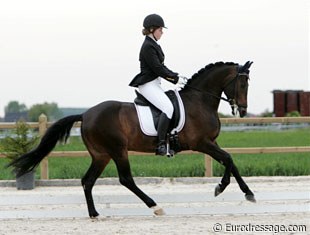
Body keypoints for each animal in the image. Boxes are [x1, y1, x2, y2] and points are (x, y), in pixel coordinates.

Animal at [7, 61, 254, 218]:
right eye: (243, 84)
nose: (242, 110)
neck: (200, 101)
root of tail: (85, 114)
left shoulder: (211, 143)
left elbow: (231, 161)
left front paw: (246, 193)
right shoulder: (201, 143)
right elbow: (228, 159)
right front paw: (223, 188)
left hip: (101, 155)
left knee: (88, 180)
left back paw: (94, 213)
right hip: (117, 150)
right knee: (126, 179)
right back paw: (155, 207)